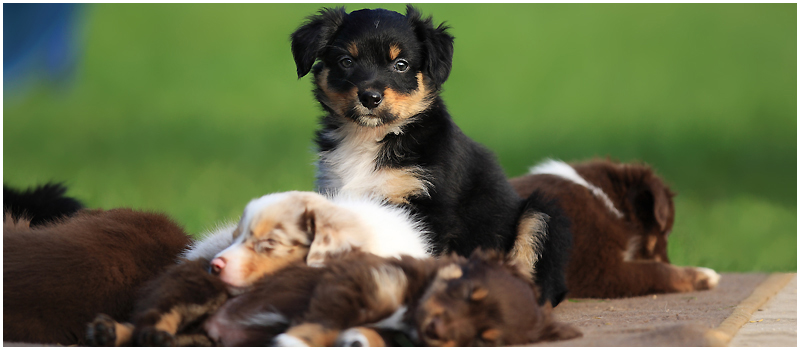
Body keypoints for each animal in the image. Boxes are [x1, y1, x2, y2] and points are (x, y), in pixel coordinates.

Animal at [294, 4, 576, 306]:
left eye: (401, 64)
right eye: (346, 61)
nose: (370, 97)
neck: (371, 138)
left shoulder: (430, 206)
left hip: (540, 213)